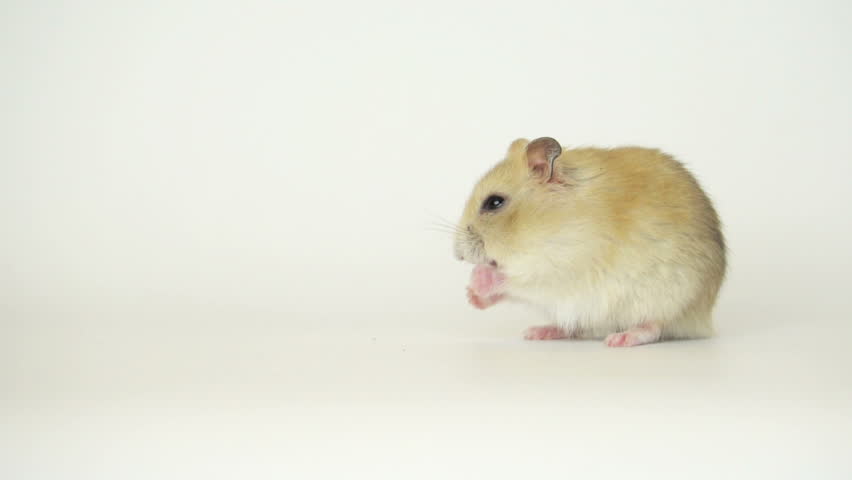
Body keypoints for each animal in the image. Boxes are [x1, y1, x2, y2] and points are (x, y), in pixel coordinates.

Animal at [454, 137, 726, 347]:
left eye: (494, 202)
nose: (457, 255)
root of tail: (703, 320)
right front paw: (472, 297)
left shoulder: (566, 264)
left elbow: (518, 279)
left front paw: (477, 279)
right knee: (575, 327)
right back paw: (538, 332)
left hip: (670, 298)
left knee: (655, 327)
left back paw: (620, 339)